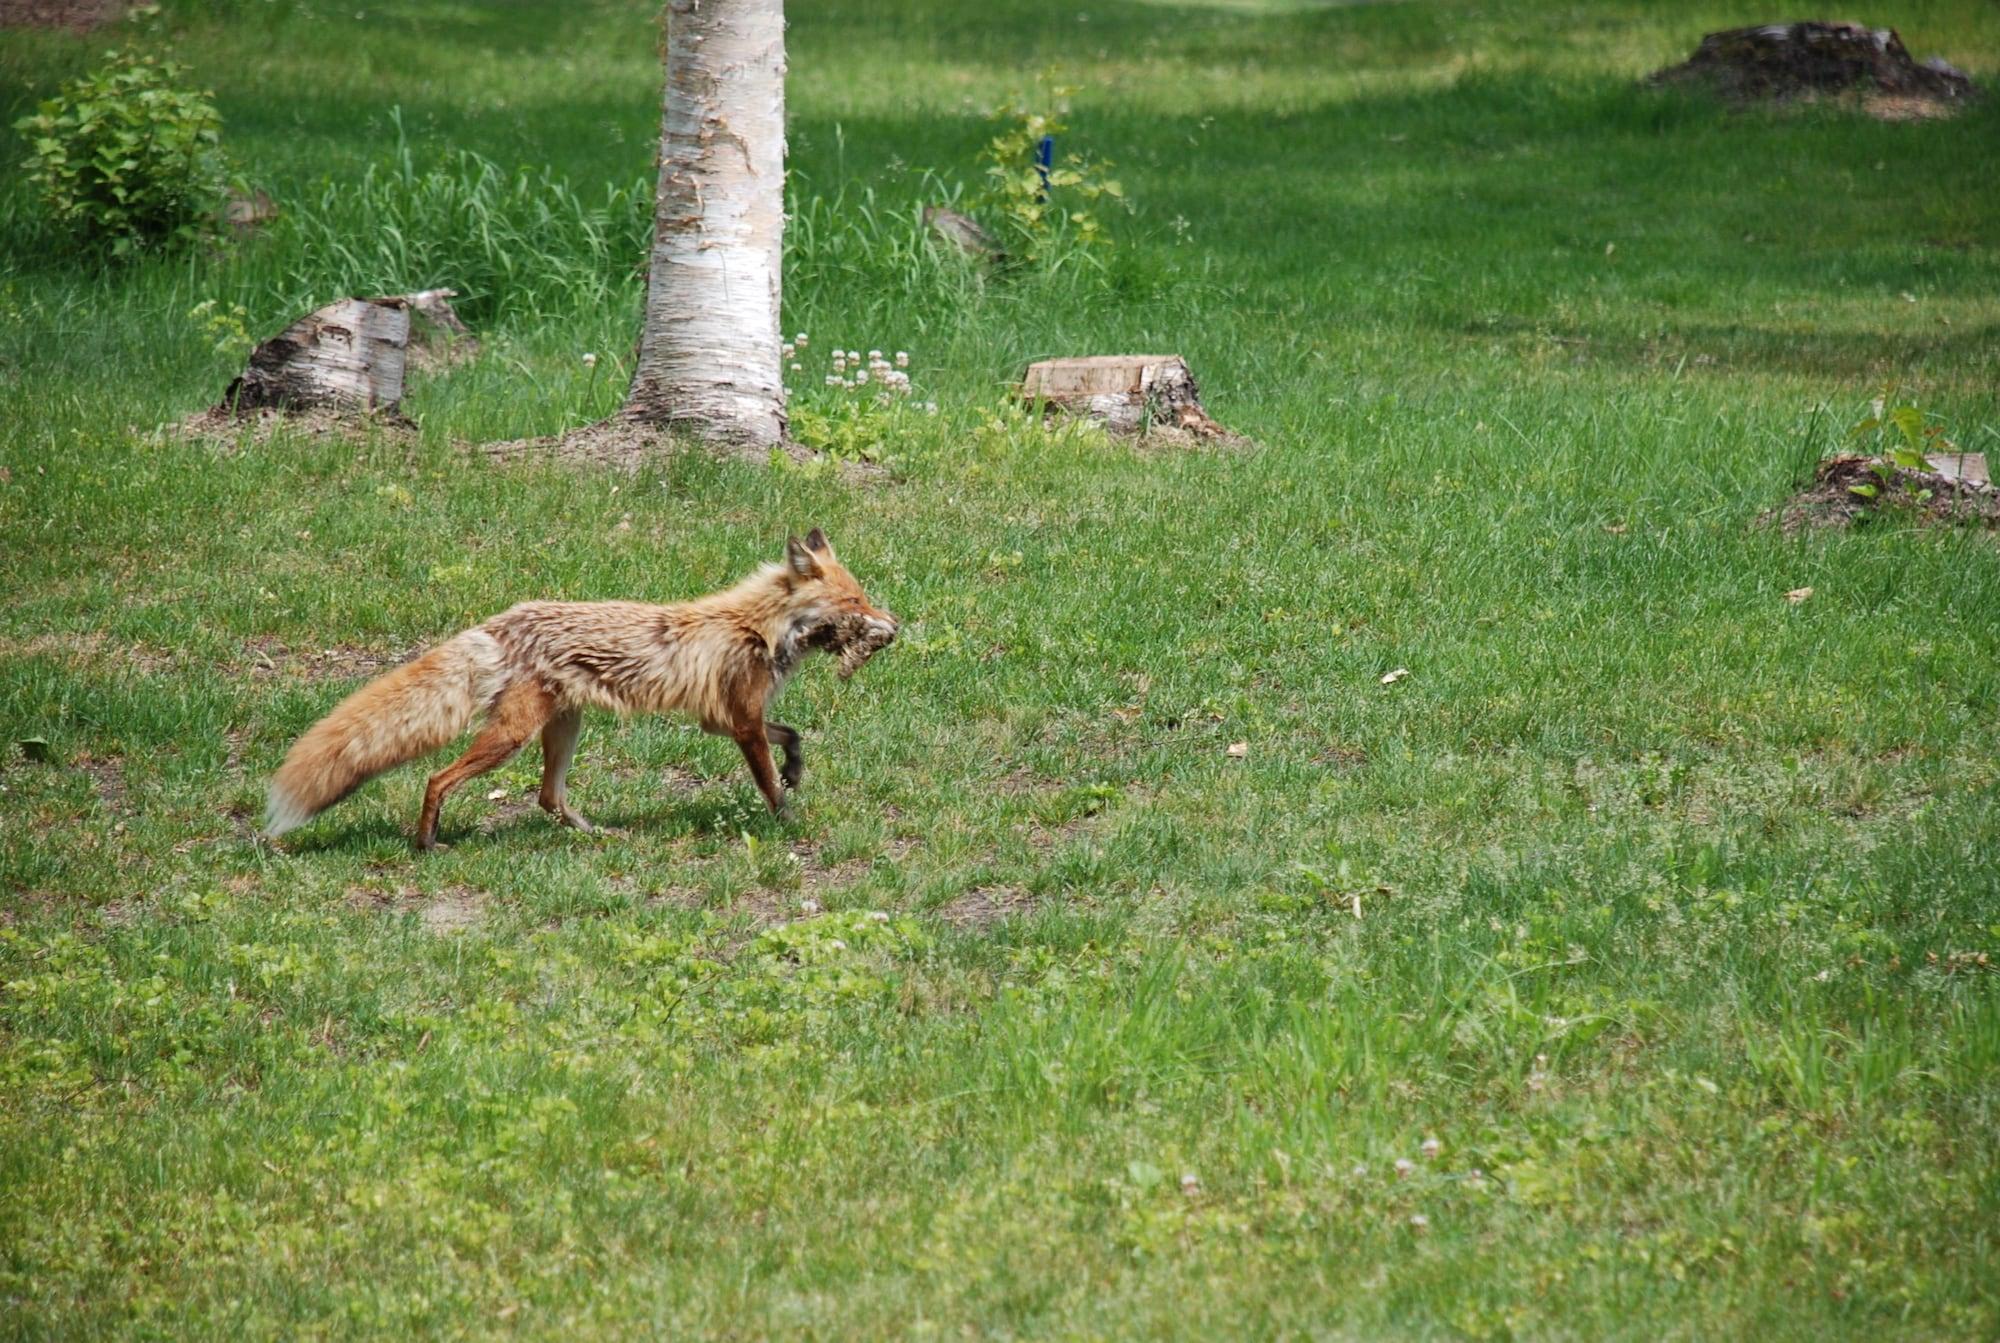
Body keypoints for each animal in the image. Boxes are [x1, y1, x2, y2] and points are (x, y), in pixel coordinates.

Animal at [266, 527, 900, 851]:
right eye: (855, 601)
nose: (891, 623)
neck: (759, 626)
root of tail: (503, 621)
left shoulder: (723, 718)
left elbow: (791, 736)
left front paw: (795, 771)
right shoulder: (739, 720)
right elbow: (767, 779)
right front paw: (788, 822)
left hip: (565, 728)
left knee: (548, 799)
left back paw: (597, 834)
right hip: (512, 736)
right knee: (437, 778)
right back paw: (426, 845)